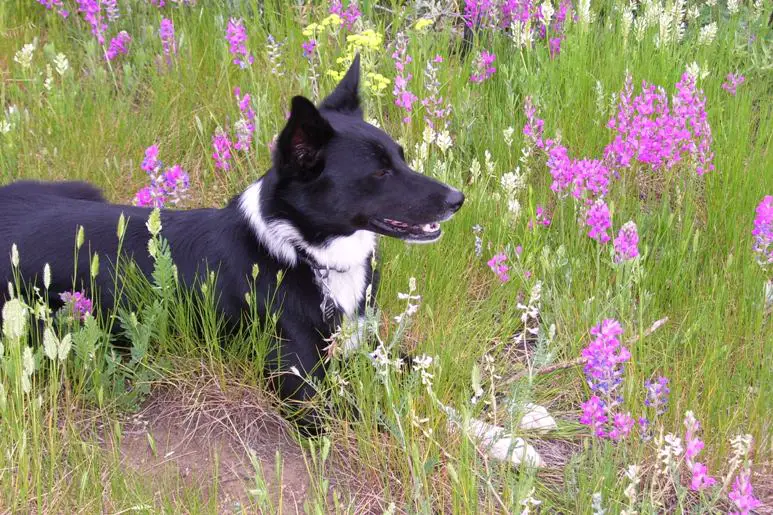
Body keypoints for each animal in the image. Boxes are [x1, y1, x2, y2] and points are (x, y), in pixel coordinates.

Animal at [0, 54, 464, 430]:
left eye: (401, 156)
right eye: (380, 172)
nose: (458, 199)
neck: (304, 253)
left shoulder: (367, 345)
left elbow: (433, 388)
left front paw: (481, 431)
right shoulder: (304, 392)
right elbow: (390, 417)